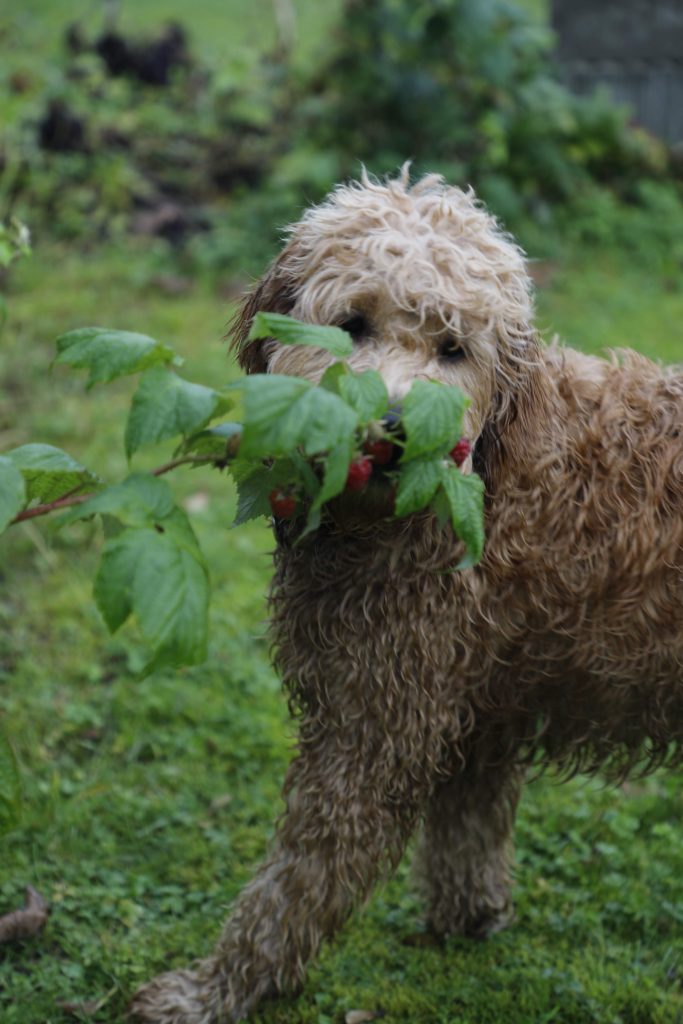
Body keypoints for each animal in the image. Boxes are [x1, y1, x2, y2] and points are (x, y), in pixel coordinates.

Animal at [129, 172, 683, 1019]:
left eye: (453, 348)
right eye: (351, 323)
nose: (388, 429)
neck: (489, 475)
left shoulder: (373, 728)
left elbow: (294, 884)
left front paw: (217, 989)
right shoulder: (476, 708)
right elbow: (466, 833)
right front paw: (469, 917)